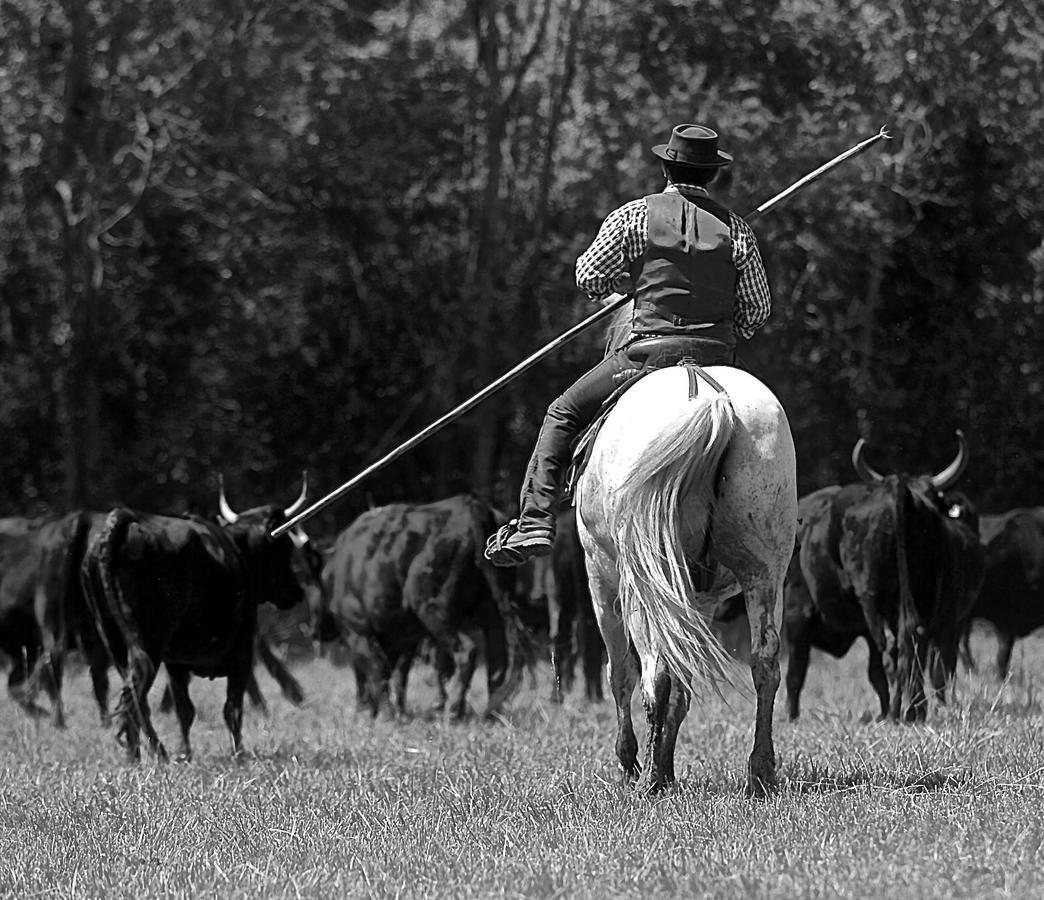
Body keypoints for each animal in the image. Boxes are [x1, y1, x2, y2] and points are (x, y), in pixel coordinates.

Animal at [79, 480, 306, 760]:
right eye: (284, 549)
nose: (296, 592)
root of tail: (124, 519)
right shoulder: (241, 654)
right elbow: (232, 708)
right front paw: (238, 754)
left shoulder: (176, 663)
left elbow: (185, 710)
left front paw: (185, 753)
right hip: (148, 643)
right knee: (135, 695)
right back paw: (153, 754)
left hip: (116, 642)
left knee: (136, 700)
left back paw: (141, 754)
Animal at [315, 492, 526, 718]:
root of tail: (470, 506)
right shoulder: (405, 637)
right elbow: (398, 673)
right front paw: (397, 711)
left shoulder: (356, 629)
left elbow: (377, 669)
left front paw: (385, 714)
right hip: (492, 608)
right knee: (497, 661)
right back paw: (491, 712)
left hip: (432, 608)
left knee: (466, 652)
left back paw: (453, 712)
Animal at [576, 359, 793, 797]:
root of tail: (713, 402)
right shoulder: (698, 600)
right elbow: (682, 686)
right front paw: (666, 767)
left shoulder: (600, 578)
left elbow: (621, 673)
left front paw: (634, 764)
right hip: (763, 572)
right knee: (765, 662)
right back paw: (760, 772)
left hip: (640, 585)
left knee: (652, 672)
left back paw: (647, 780)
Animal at [785, 434, 981, 722]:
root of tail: (900, 492)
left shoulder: (797, 613)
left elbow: (795, 672)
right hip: (919, 600)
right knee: (913, 643)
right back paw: (913, 709)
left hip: (873, 600)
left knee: (893, 649)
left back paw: (899, 711)